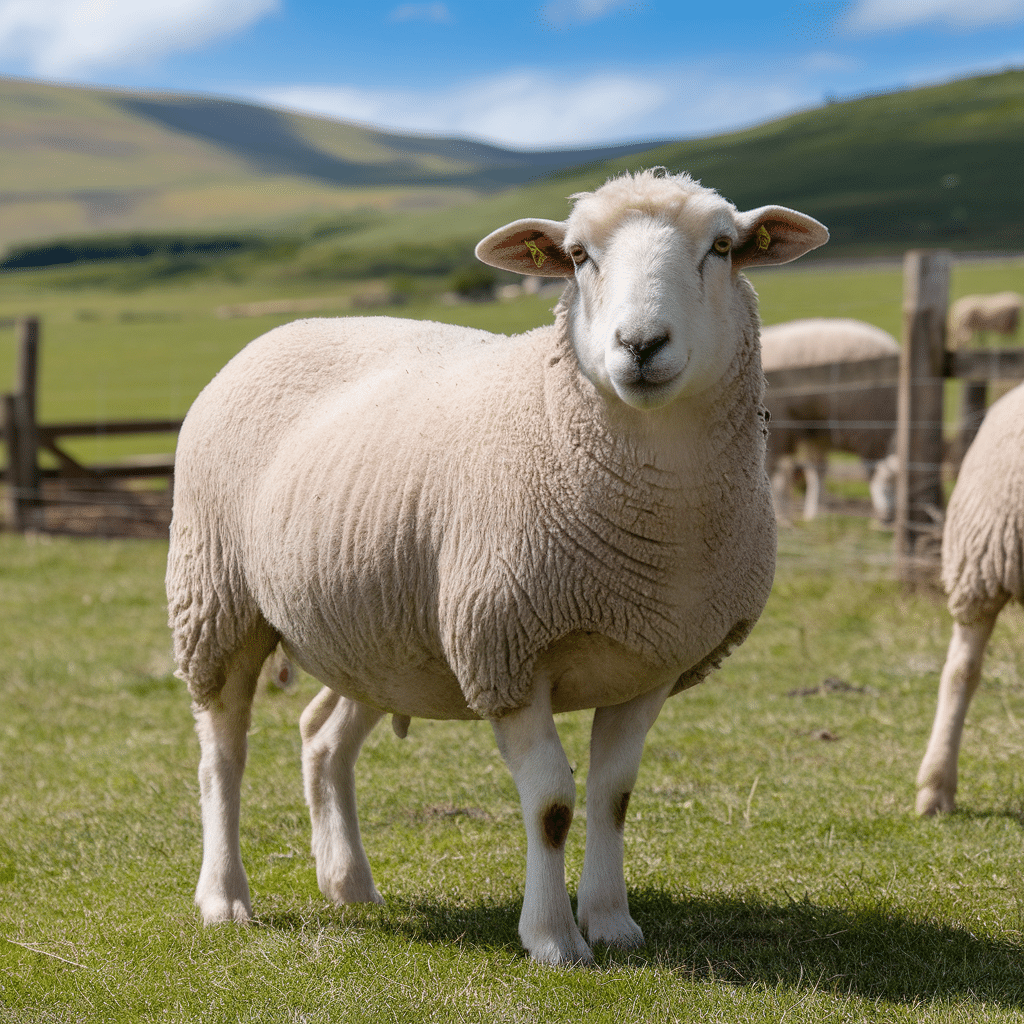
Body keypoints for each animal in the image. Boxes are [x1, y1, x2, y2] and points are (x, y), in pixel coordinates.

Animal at [167, 168, 828, 966]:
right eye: (577, 256)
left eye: (723, 248)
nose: (640, 344)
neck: (659, 531)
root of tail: (282, 331)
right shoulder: (504, 648)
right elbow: (552, 803)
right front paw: (553, 938)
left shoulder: (650, 661)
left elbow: (612, 797)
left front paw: (613, 924)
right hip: (217, 599)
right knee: (222, 752)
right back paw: (224, 897)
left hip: (379, 628)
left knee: (323, 738)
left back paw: (349, 884)